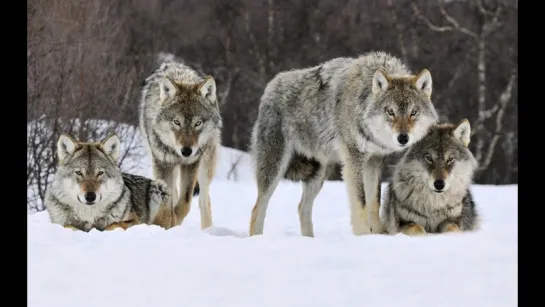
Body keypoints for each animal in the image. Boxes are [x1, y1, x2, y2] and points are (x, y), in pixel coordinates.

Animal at [44, 134, 173, 232]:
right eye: (79, 173)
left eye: (100, 173)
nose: (90, 196)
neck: (90, 216)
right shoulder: (61, 223)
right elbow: (68, 226)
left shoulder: (134, 221)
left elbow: (113, 224)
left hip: (158, 188)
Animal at [139, 60, 222, 230]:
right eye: (177, 122)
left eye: (198, 123)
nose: (186, 151)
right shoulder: (162, 164)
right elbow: (169, 201)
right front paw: (169, 223)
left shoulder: (191, 163)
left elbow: (185, 202)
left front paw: (175, 221)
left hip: (205, 166)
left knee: (204, 201)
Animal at [249, 51, 440, 237]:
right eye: (390, 112)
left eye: (413, 112)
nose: (403, 138)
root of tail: (271, 85)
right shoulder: (353, 159)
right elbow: (360, 201)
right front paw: (363, 235)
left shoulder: (375, 160)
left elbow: (374, 201)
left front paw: (379, 234)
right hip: (275, 168)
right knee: (257, 209)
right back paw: (257, 238)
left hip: (318, 175)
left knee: (302, 208)